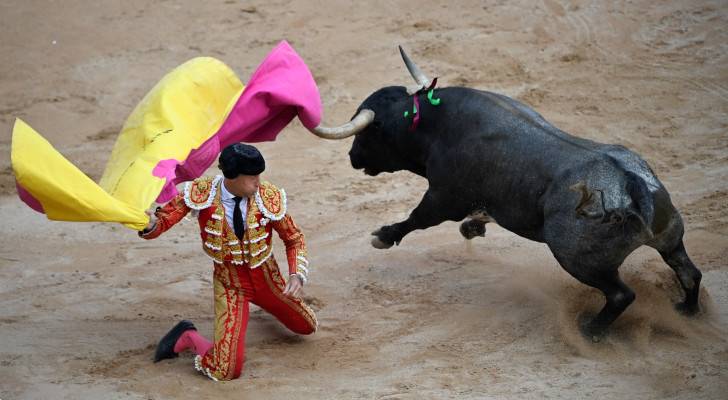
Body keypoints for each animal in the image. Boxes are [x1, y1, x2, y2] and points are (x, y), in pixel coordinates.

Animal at [306, 47, 700, 340]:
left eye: (369, 133)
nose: (352, 156)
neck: (435, 124)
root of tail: (632, 184)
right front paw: (473, 228)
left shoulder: (444, 196)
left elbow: (417, 218)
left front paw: (383, 236)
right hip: (670, 238)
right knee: (688, 273)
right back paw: (688, 310)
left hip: (576, 258)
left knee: (622, 294)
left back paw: (589, 331)